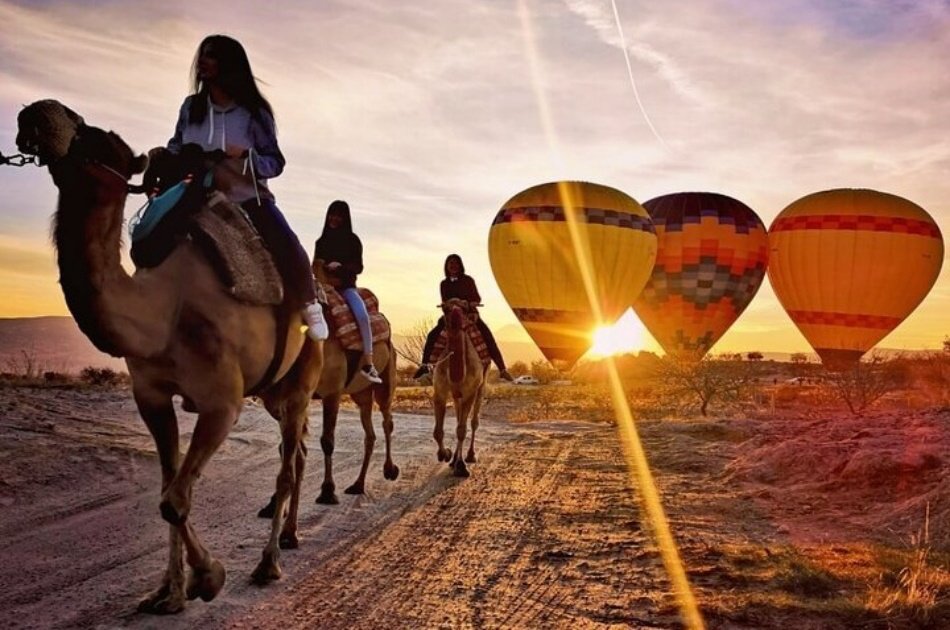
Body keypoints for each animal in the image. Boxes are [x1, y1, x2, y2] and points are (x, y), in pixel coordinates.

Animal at [15, 101, 324, 616]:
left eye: (102, 139)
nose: (37, 113)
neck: (164, 311)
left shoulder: (222, 402)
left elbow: (174, 500)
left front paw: (211, 576)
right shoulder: (152, 396)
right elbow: (169, 488)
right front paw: (169, 592)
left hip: (302, 378)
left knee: (287, 466)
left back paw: (268, 563)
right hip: (273, 391)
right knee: (294, 452)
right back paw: (290, 535)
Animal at [434, 298, 490, 476]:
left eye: (465, 308)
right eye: (445, 308)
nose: (455, 318)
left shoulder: (470, 392)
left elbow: (462, 430)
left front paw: (461, 466)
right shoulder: (440, 390)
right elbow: (438, 432)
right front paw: (445, 454)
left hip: (481, 385)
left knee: (473, 422)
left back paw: (470, 456)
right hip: (455, 393)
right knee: (459, 418)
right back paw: (453, 460)